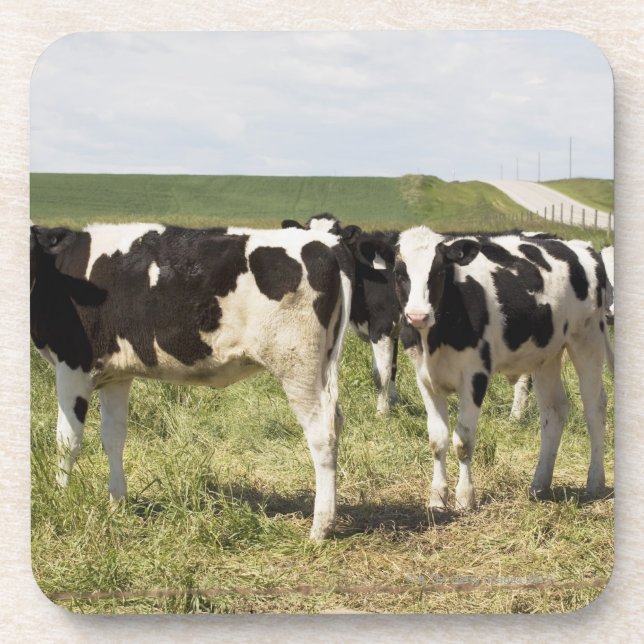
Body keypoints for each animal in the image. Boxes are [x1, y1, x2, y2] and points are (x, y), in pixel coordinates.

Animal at [30, 222, 355, 542]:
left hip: (297, 365)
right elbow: (113, 438)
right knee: (335, 420)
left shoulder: (72, 365)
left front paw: (61, 500)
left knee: (321, 432)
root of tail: (325, 243)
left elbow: (67, 441)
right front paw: (117, 503)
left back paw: (320, 527)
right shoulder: (116, 375)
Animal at [282, 214, 401, 415]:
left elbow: (381, 373)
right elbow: (392, 366)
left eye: (335, 240)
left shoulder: (382, 324)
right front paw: (394, 402)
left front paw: (382, 412)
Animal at [353, 226, 613, 510]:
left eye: (439, 272)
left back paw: (594, 482)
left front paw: (465, 498)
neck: (437, 337)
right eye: (400, 274)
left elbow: (463, 441)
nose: (417, 316)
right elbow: (437, 439)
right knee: (554, 410)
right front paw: (437, 498)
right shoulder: (425, 378)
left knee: (594, 406)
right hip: (547, 354)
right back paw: (539, 485)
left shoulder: (475, 376)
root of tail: (579, 246)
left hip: (587, 339)